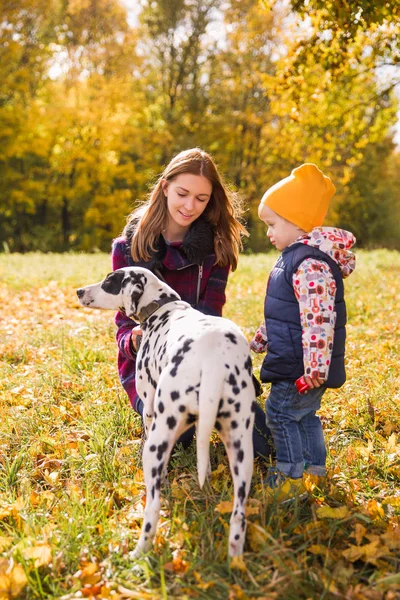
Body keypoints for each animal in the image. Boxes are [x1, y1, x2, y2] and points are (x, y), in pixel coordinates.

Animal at [76, 268, 256, 556]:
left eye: (109, 281)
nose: (79, 291)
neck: (162, 308)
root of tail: (214, 359)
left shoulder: (148, 411)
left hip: (158, 442)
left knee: (153, 508)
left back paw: (139, 552)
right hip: (241, 450)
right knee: (238, 515)